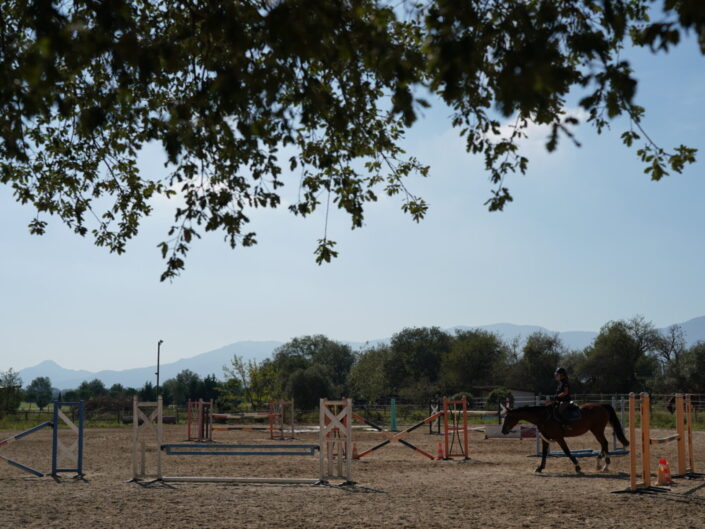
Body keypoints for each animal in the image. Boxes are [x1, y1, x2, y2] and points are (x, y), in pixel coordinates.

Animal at [498, 402, 628, 472]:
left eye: (509, 417)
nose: (503, 431)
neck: (544, 417)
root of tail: (601, 405)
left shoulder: (559, 437)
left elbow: (567, 451)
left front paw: (577, 467)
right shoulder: (545, 438)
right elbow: (544, 453)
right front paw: (540, 468)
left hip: (597, 430)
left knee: (604, 443)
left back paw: (605, 465)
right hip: (595, 430)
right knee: (603, 444)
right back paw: (599, 463)